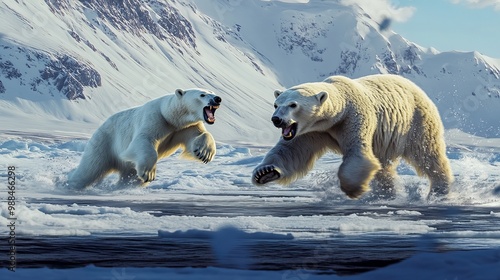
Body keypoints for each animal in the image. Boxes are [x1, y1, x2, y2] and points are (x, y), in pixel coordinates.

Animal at [67, 88, 223, 189]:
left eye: (213, 92)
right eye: (202, 95)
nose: (217, 98)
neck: (171, 117)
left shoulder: (185, 127)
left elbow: (197, 137)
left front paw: (204, 153)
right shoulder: (155, 118)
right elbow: (144, 139)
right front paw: (149, 173)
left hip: (125, 162)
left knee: (128, 174)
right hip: (104, 141)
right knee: (90, 168)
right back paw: (69, 184)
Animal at [254, 74, 454, 199]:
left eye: (293, 104)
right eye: (276, 104)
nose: (277, 119)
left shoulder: (354, 117)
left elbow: (358, 152)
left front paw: (353, 189)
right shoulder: (312, 131)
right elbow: (292, 150)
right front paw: (265, 172)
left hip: (416, 121)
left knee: (428, 154)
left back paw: (439, 190)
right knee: (384, 166)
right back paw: (389, 192)